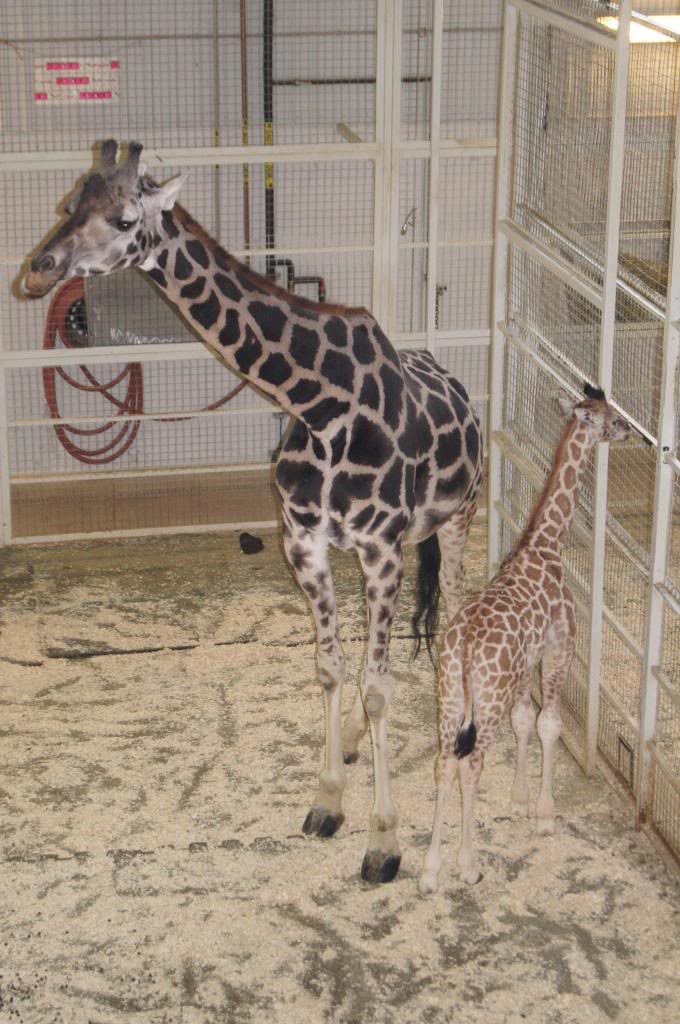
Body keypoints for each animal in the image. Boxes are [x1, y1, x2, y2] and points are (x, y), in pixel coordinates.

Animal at [25, 140, 483, 884]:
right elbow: (333, 668)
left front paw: (384, 842)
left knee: (455, 618)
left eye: (125, 219)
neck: (319, 405)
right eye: (69, 203)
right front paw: (328, 801)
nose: (36, 272)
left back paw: (462, 729)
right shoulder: (305, 544)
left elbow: (379, 687)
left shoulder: (382, 551)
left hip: (463, 516)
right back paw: (351, 740)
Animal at [419, 387, 630, 892]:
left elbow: (524, 721)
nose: (629, 431)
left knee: (443, 762)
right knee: (471, 763)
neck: (545, 544)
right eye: (610, 418)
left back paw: (431, 871)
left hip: (450, 695)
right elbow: (549, 724)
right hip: (485, 700)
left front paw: (517, 801)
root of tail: (465, 649)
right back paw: (468, 864)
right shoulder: (559, 650)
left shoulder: (523, 668)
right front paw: (544, 814)